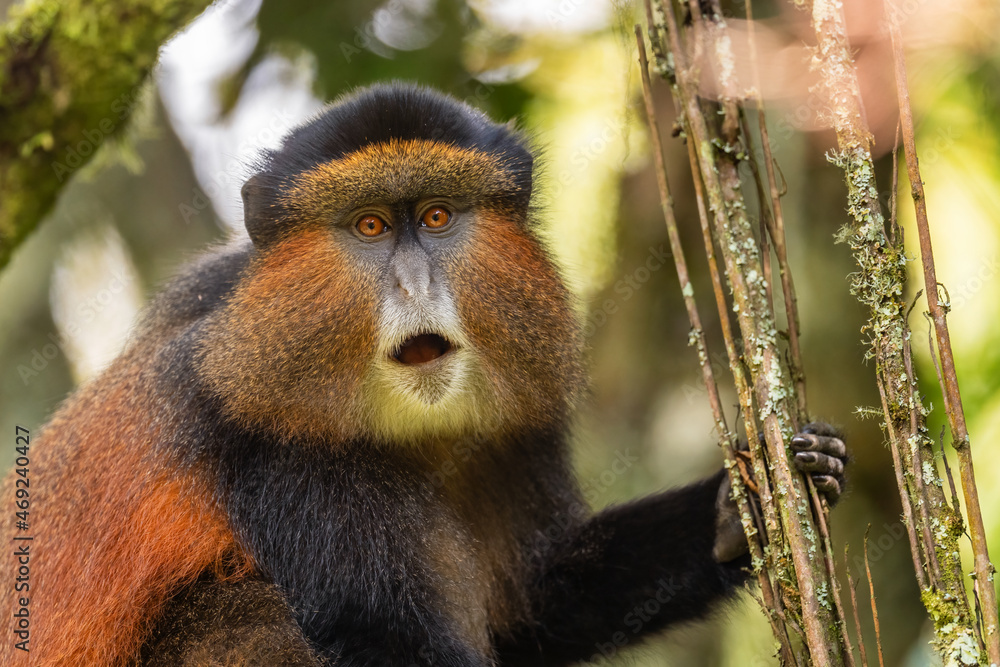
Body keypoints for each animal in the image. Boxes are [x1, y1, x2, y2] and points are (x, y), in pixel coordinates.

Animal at [0, 82, 847, 666]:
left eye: (437, 216)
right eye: (370, 226)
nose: (413, 285)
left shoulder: (520, 422)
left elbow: (537, 602)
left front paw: (744, 505)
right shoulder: (271, 441)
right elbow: (391, 641)